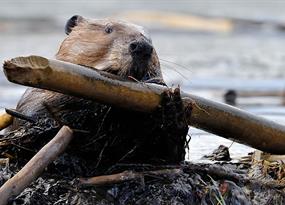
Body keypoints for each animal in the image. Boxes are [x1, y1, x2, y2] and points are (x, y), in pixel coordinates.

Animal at [5, 15, 189, 175]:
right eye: (108, 29)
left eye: (149, 38)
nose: (142, 47)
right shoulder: (33, 101)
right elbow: (32, 120)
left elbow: (166, 153)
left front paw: (171, 102)